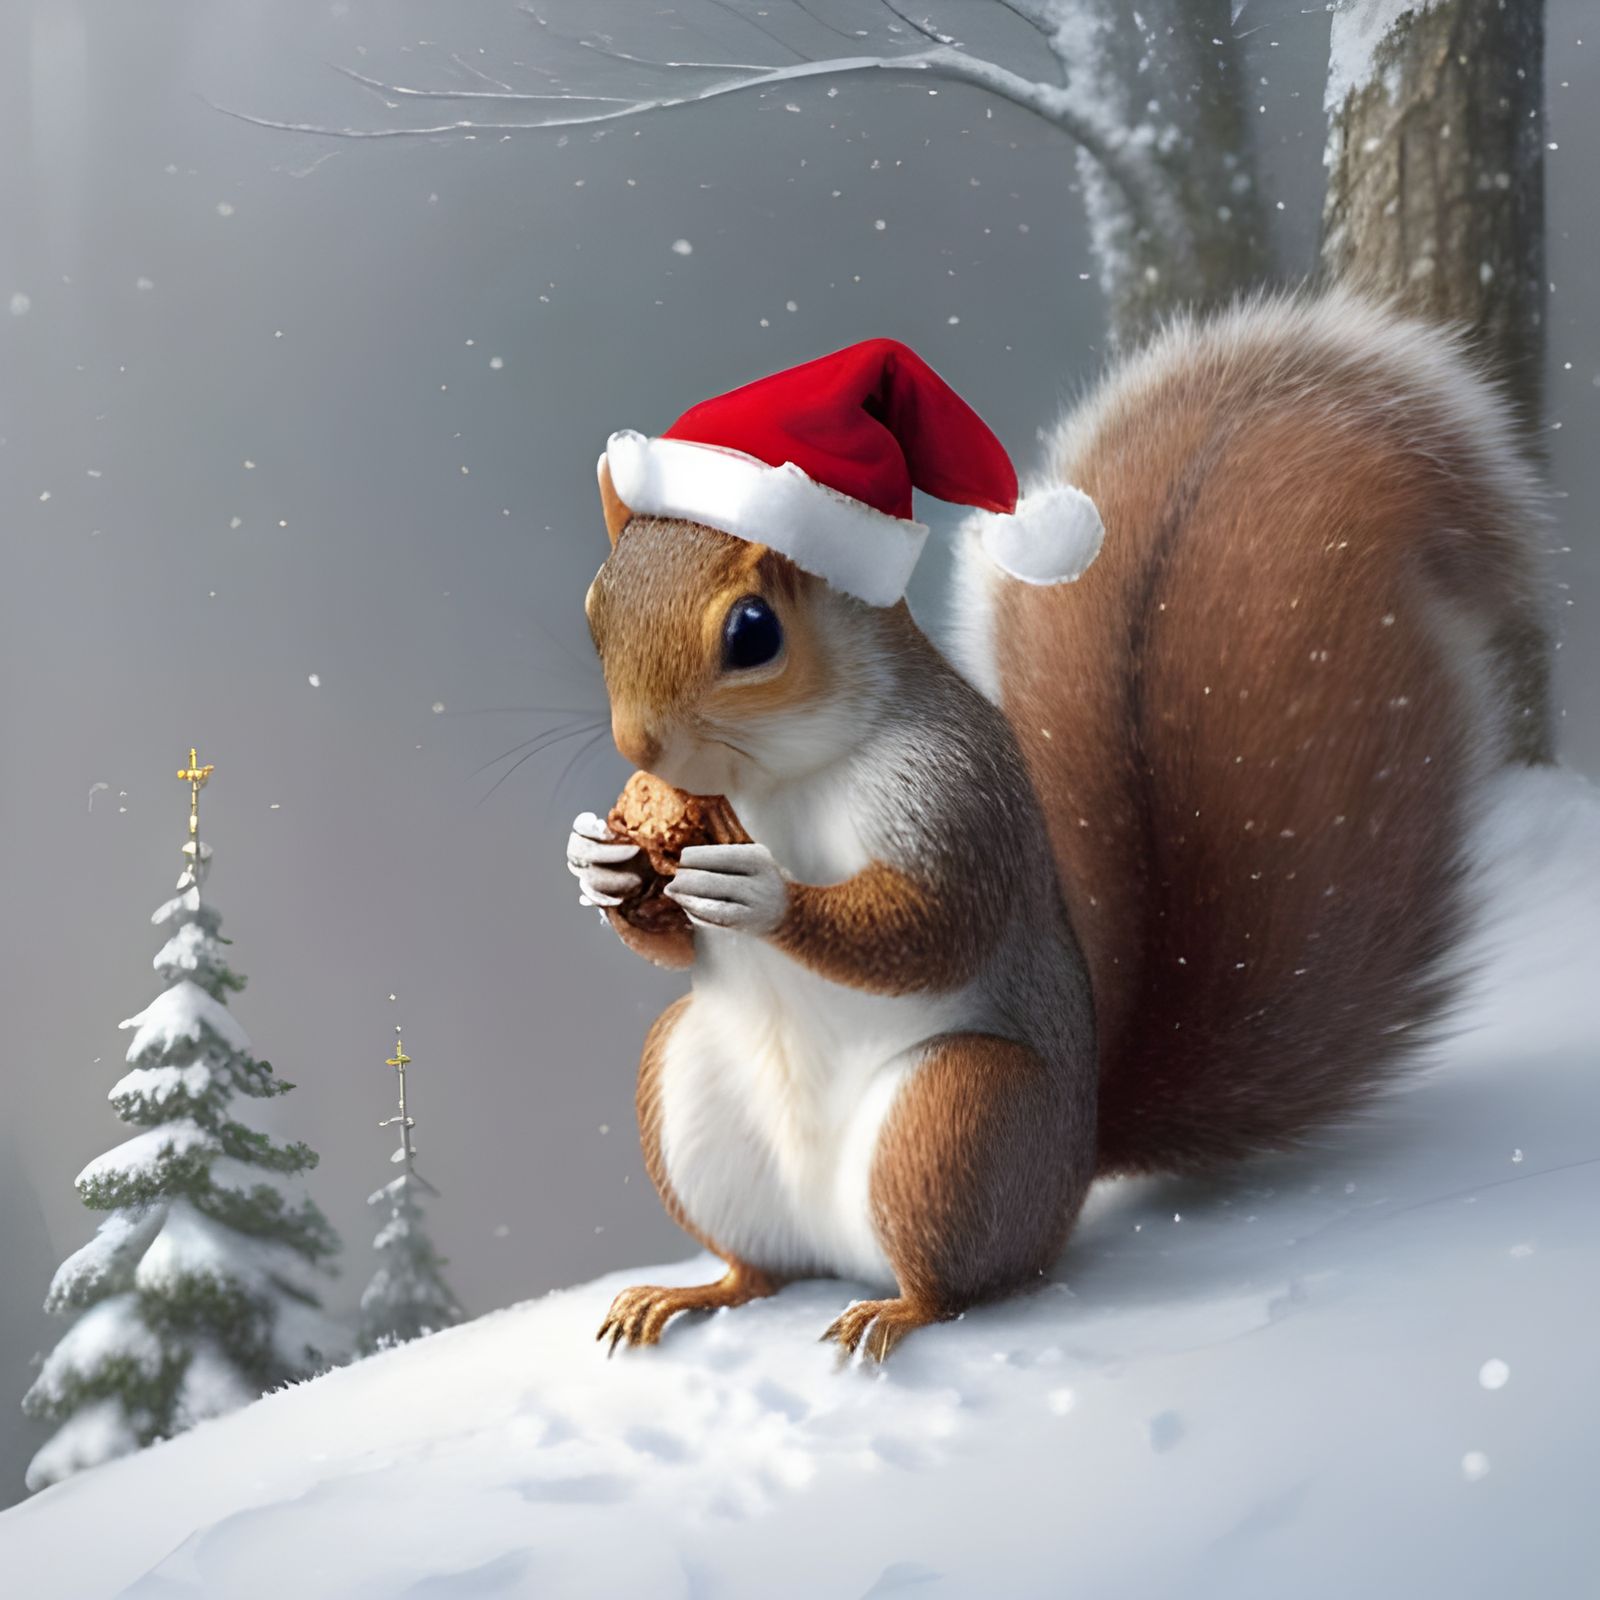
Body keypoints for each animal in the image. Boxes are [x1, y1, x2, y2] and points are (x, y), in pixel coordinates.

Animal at [567, 294, 1551, 1362]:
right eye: (594, 608)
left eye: (753, 633)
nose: (638, 742)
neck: (777, 779)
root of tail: (1076, 1161)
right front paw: (599, 865)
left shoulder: (949, 790)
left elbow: (931, 929)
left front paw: (757, 889)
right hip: (688, 1094)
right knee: (759, 1268)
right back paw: (688, 1293)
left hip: (960, 1122)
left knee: (964, 1281)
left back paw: (896, 1309)